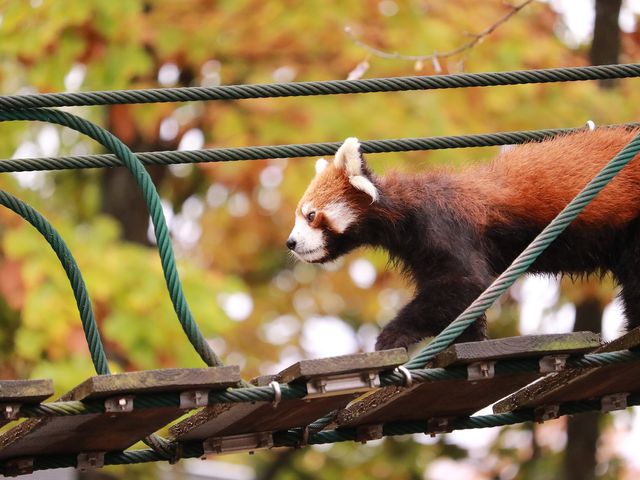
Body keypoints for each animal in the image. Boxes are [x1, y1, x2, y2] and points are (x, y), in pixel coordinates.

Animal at [288, 129, 640, 350]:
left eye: (310, 215)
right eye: (298, 216)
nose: (290, 243)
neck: (406, 210)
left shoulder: (445, 227)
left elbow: (466, 283)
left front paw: (392, 336)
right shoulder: (421, 251)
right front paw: (466, 338)